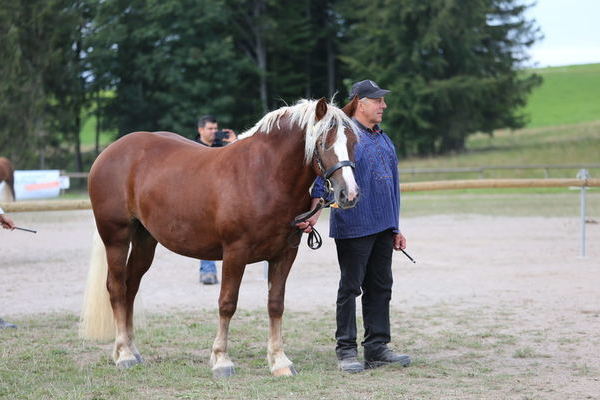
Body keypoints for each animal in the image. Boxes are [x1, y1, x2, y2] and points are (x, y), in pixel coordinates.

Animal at [81, 98, 358, 376]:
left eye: (354, 141)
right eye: (323, 142)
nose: (349, 194)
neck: (264, 175)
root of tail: (110, 151)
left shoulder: (285, 254)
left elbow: (275, 304)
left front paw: (280, 361)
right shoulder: (235, 252)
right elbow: (227, 303)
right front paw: (222, 359)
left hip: (145, 241)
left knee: (131, 287)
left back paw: (132, 349)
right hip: (116, 237)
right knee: (117, 288)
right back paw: (124, 354)